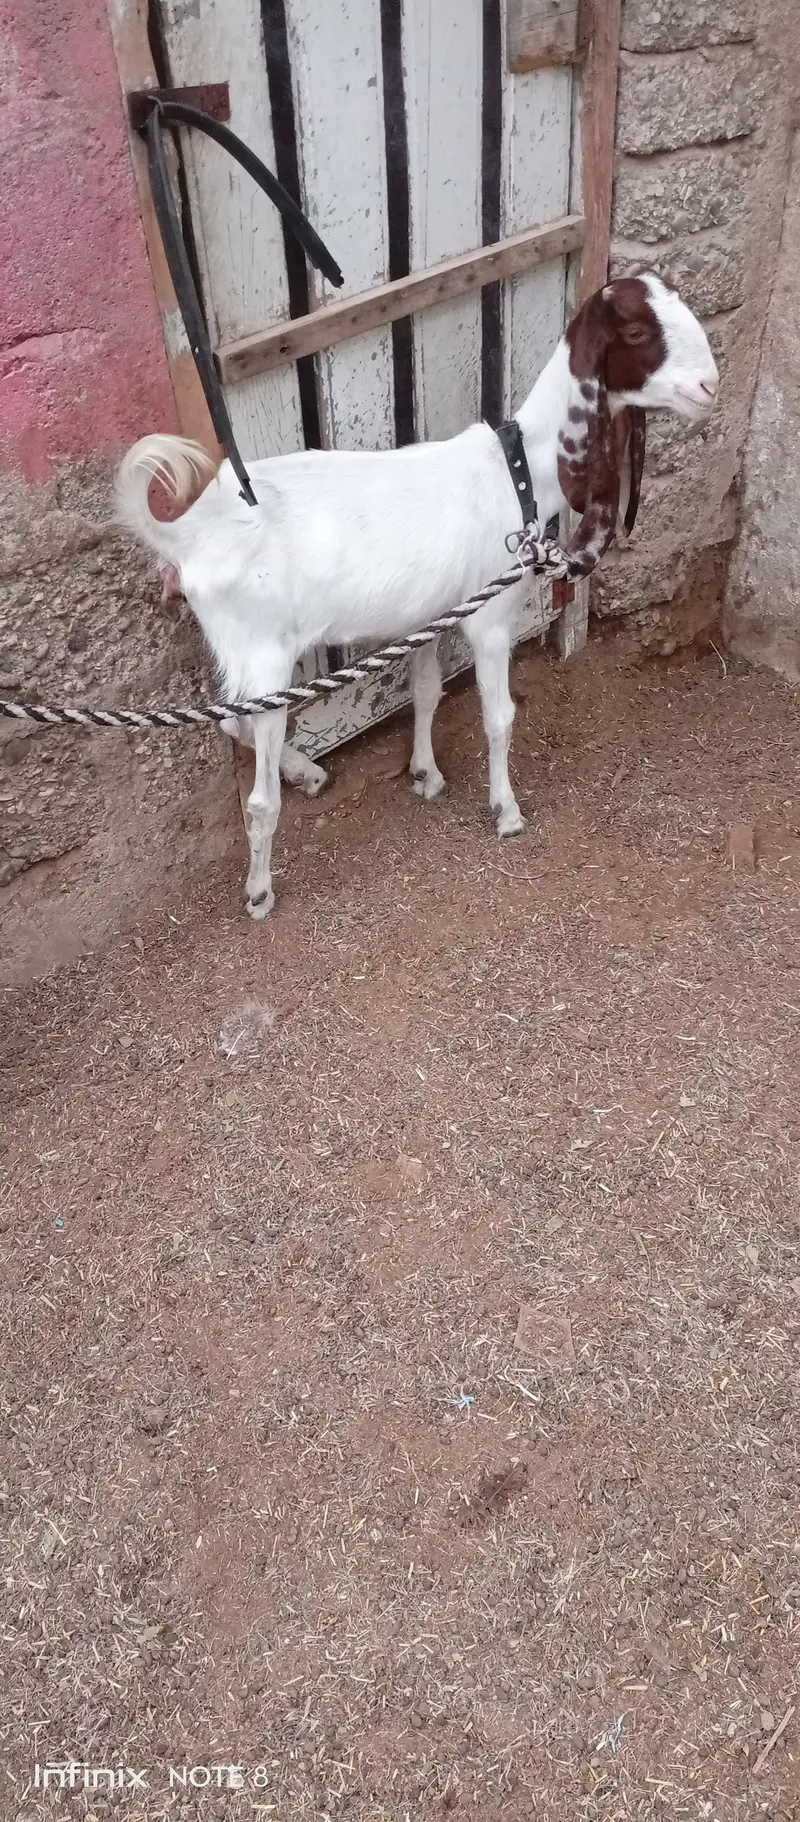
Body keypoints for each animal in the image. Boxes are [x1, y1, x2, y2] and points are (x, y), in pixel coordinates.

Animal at [117, 273, 718, 919]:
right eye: (634, 331)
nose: (710, 387)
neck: (519, 470)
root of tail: (184, 534)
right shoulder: (491, 620)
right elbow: (499, 716)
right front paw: (507, 811)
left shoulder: (431, 615)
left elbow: (426, 692)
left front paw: (425, 774)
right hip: (263, 650)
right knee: (254, 784)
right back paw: (259, 890)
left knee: (234, 723)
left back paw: (307, 773)